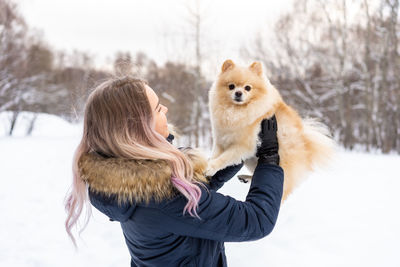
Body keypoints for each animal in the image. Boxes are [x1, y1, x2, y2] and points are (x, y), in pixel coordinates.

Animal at [206, 59, 334, 204]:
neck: (235, 111)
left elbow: (224, 158)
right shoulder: (221, 140)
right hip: (253, 160)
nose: (238, 93)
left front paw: (211, 167)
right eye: (231, 86)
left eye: (247, 88)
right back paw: (246, 177)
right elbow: (216, 154)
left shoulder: (243, 146)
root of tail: (307, 146)